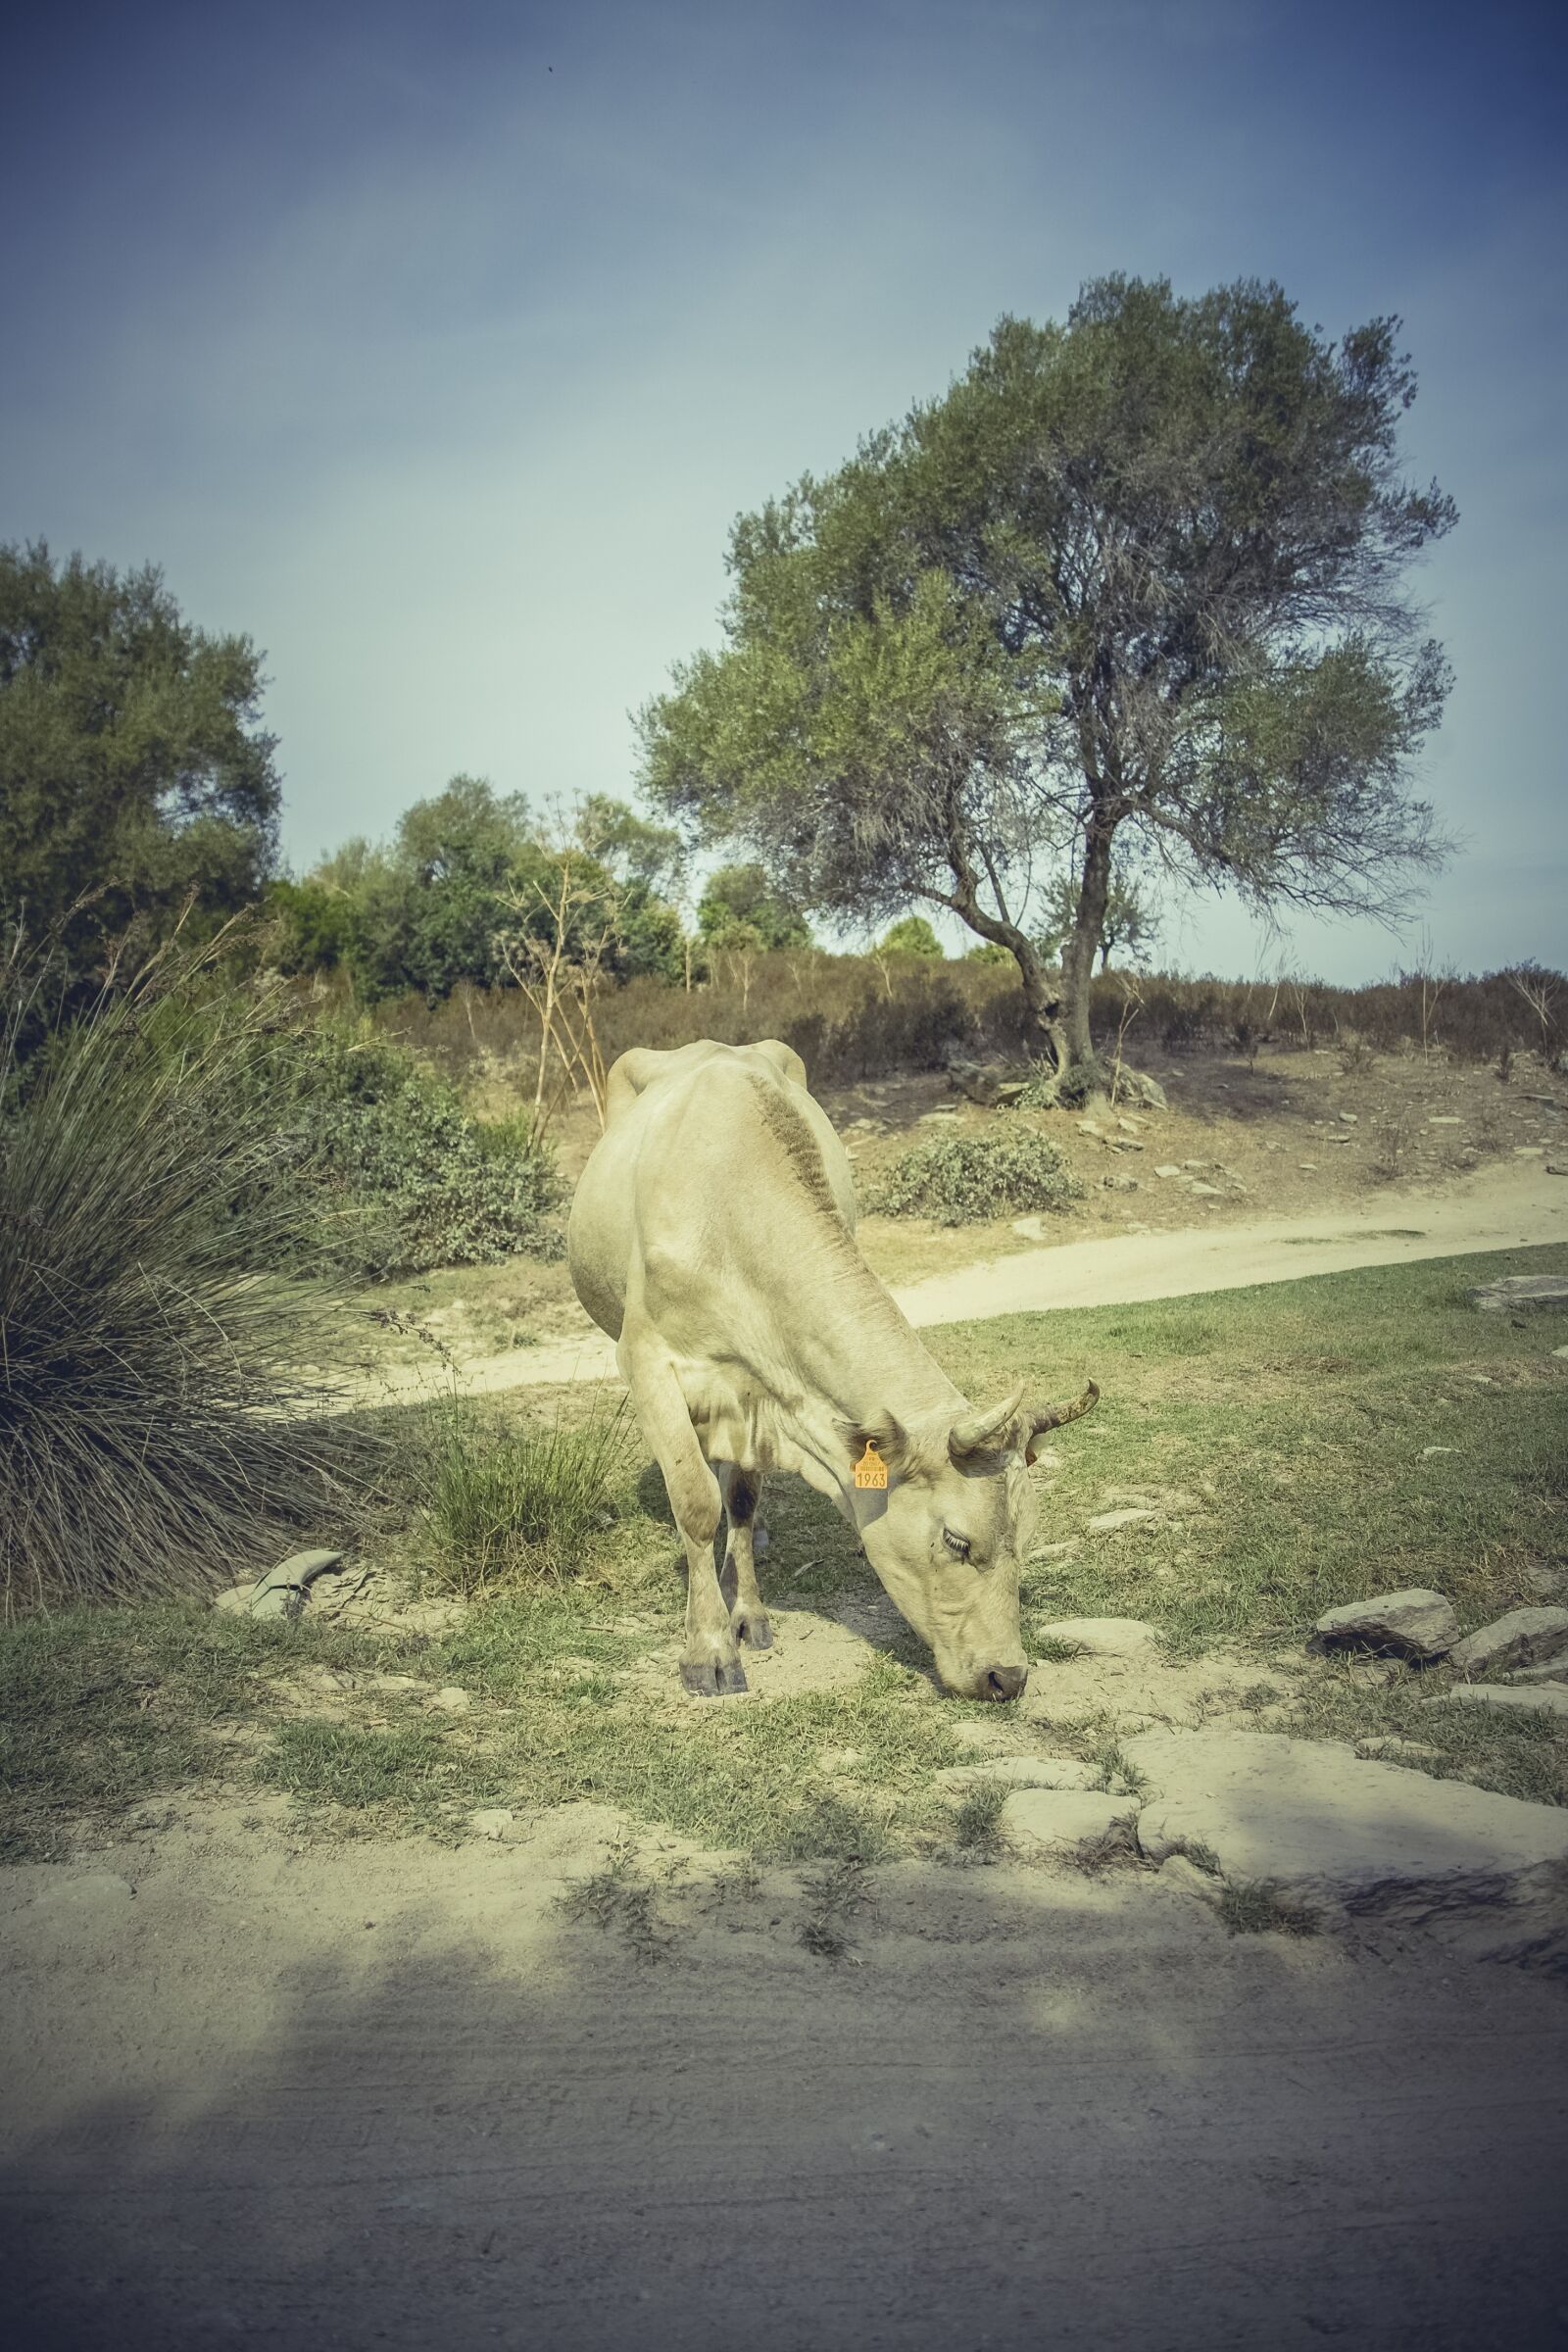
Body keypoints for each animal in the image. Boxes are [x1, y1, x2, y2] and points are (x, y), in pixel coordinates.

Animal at [567, 1039, 1098, 1700]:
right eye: (957, 1540)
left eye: (1026, 1539)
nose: (1008, 1676)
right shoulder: (648, 1362)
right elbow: (694, 1503)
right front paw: (708, 1650)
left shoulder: (760, 1392)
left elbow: (740, 1496)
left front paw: (748, 1612)